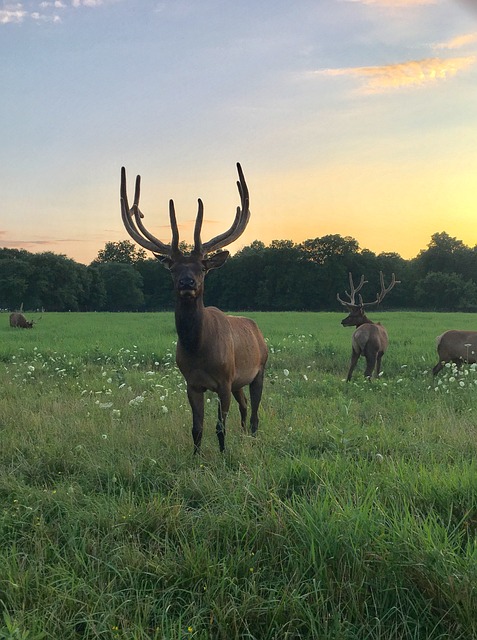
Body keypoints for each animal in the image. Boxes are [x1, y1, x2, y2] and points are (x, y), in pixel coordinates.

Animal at [119, 165, 268, 456]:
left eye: (202, 267)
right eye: (173, 268)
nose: (187, 283)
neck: (199, 349)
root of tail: (257, 329)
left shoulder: (224, 381)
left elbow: (219, 427)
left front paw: (223, 456)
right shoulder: (192, 384)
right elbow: (196, 428)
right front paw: (196, 458)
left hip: (260, 370)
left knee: (256, 411)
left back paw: (254, 438)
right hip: (239, 381)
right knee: (245, 406)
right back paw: (245, 435)